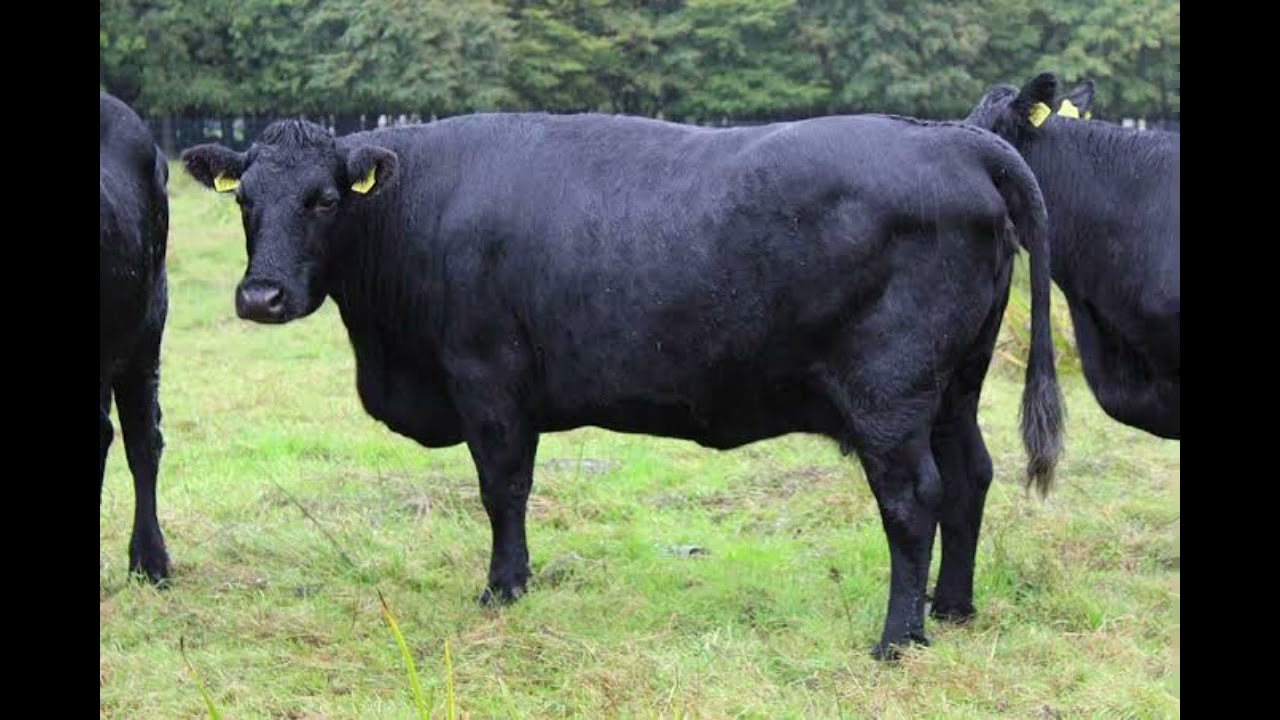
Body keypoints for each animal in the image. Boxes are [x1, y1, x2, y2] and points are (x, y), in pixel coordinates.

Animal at [182, 111, 1063, 659]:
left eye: (325, 200)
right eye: (245, 202)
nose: (261, 296)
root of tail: (957, 142)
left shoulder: (487, 377)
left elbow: (502, 489)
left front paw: (503, 590)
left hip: (890, 391)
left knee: (913, 499)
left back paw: (897, 638)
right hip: (956, 385)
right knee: (970, 477)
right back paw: (951, 608)